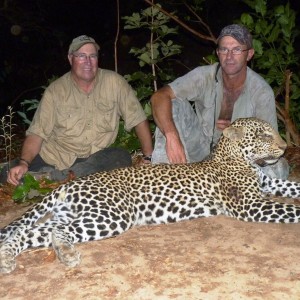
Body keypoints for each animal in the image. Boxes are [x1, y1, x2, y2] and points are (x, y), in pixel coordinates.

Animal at [0, 118, 300, 274]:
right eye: (263, 135)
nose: (285, 146)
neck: (241, 160)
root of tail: (68, 185)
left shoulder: (269, 185)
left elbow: (294, 187)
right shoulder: (252, 205)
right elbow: (294, 209)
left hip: (72, 215)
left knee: (29, 232)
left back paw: (7, 258)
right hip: (110, 215)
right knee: (54, 232)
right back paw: (66, 253)